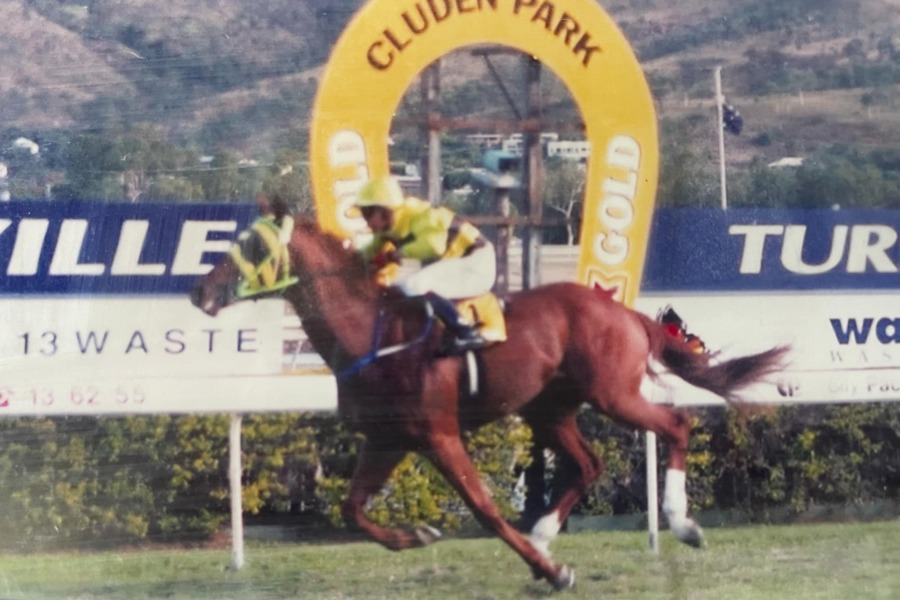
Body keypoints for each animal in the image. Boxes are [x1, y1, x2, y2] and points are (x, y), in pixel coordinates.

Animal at [191, 215, 788, 590]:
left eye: (252, 247)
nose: (199, 293)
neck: (370, 334)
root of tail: (624, 312)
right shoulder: (387, 439)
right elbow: (352, 509)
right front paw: (418, 534)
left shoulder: (439, 435)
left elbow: (483, 508)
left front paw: (553, 573)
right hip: (548, 409)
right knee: (589, 463)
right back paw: (545, 534)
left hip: (612, 393)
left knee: (676, 425)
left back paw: (680, 524)